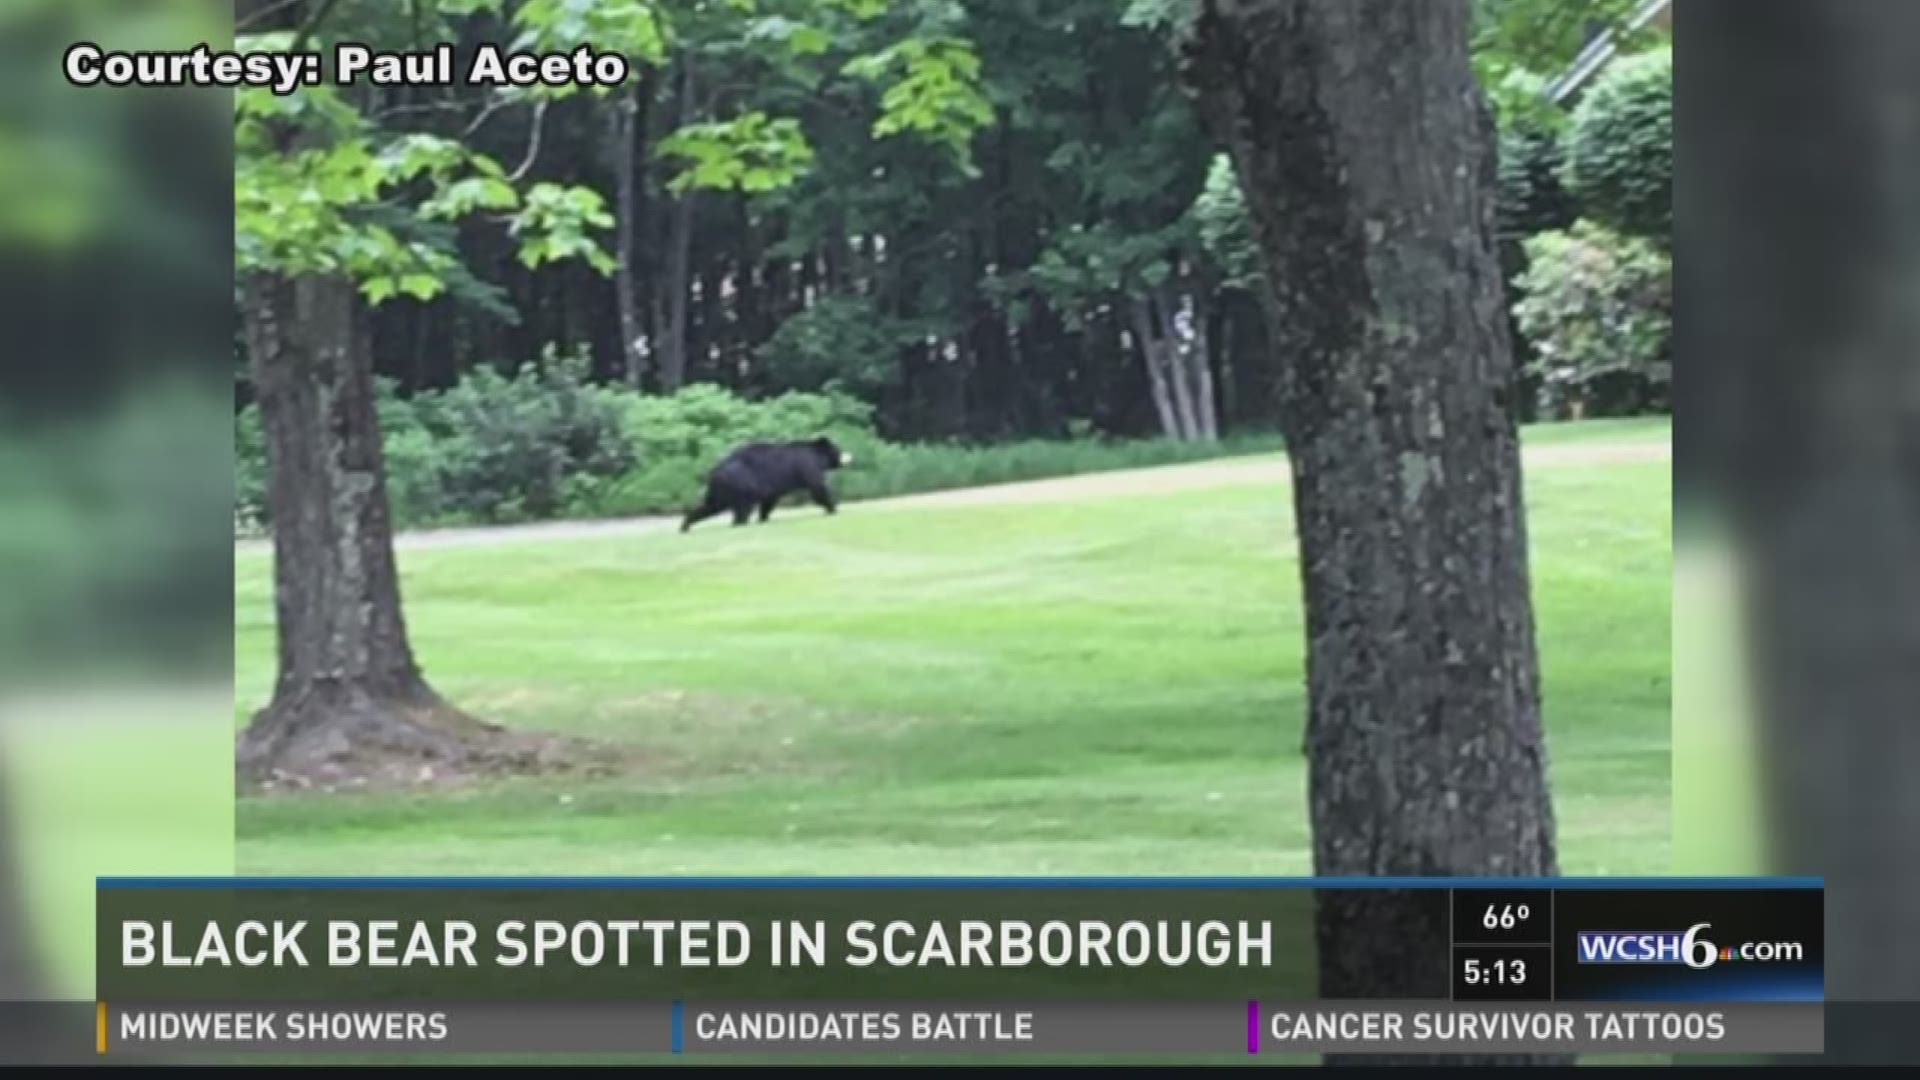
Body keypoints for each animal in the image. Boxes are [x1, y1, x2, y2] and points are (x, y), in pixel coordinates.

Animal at [679, 430, 852, 526]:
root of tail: (714, 472)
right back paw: (739, 523)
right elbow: (817, 487)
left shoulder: (772, 487)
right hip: (742, 484)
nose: (845, 458)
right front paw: (833, 508)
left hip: (721, 490)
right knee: (742, 508)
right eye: (838, 449)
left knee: (711, 506)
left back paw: (686, 525)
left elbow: (769, 500)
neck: (817, 458)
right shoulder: (806, 466)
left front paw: (763, 517)